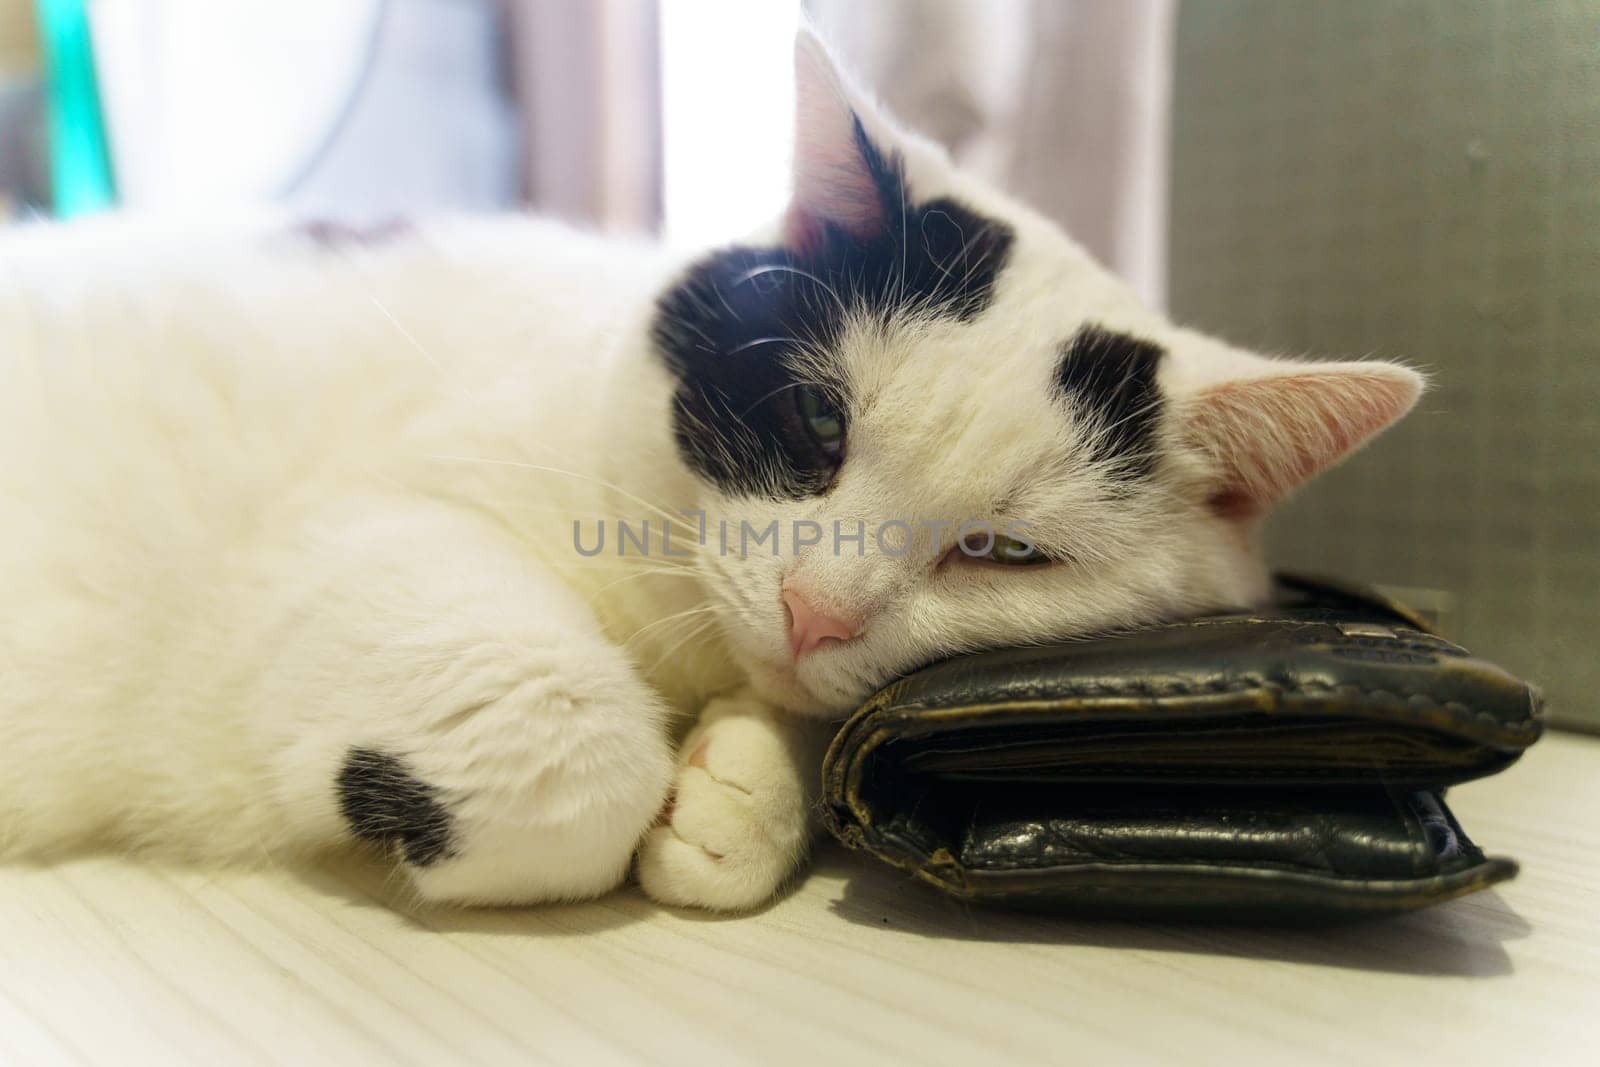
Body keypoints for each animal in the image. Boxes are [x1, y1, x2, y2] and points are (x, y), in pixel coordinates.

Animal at [0, 29, 1427, 908]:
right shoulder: (341, 532)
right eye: (815, 426)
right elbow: (574, 750)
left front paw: (742, 793)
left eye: (1002, 552)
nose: (813, 611)